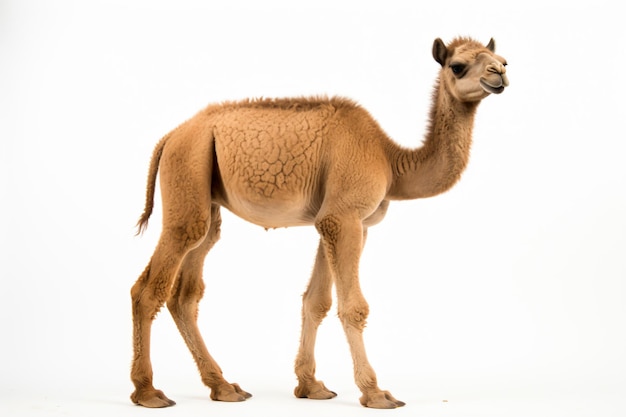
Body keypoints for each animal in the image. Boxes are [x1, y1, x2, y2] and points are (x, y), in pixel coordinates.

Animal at [129, 36, 504, 410]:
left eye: (501, 59)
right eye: (458, 65)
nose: (498, 73)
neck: (390, 160)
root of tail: (170, 137)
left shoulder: (345, 223)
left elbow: (316, 301)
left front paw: (310, 386)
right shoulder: (343, 216)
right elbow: (353, 307)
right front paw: (376, 393)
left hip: (205, 194)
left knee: (186, 290)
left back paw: (224, 387)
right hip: (188, 169)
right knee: (149, 287)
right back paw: (148, 392)